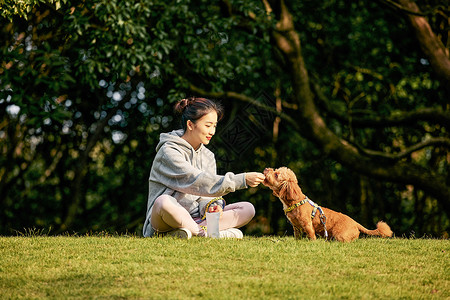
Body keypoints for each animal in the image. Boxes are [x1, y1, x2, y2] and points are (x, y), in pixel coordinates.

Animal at [262, 168, 392, 243]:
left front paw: (312, 243)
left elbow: (311, 235)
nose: (266, 169)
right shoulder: (296, 227)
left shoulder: (307, 224)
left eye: (276, 174)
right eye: (275, 170)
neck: (295, 202)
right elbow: (297, 237)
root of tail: (356, 223)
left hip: (340, 235)